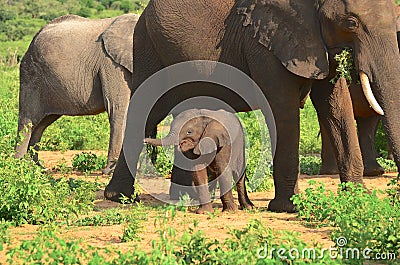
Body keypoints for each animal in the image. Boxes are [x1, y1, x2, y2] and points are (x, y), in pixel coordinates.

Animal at [15, 13, 139, 173]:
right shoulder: (111, 65)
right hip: (30, 75)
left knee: (41, 125)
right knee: (27, 122)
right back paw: (18, 167)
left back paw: (37, 168)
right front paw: (110, 172)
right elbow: (118, 109)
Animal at [104, 0, 400, 211]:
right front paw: (287, 207)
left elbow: (336, 105)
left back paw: (182, 199)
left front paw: (358, 197)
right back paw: (118, 197)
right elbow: (282, 110)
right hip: (147, 44)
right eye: (351, 22)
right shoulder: (265, 44)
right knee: (146, 111)